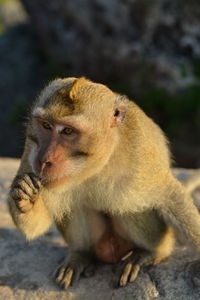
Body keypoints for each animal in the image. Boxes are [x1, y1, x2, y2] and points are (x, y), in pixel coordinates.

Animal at [7, 76, 200, 290]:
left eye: (67, 131)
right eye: (46, 126)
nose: (43, 160)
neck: (95, 166)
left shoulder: (141, 157)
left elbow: (170, 195)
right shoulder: (30, 149)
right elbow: (37, 225)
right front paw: (25, 197)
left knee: (131, 207)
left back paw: (150, 253)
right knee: (78, 206)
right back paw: (81, 255)